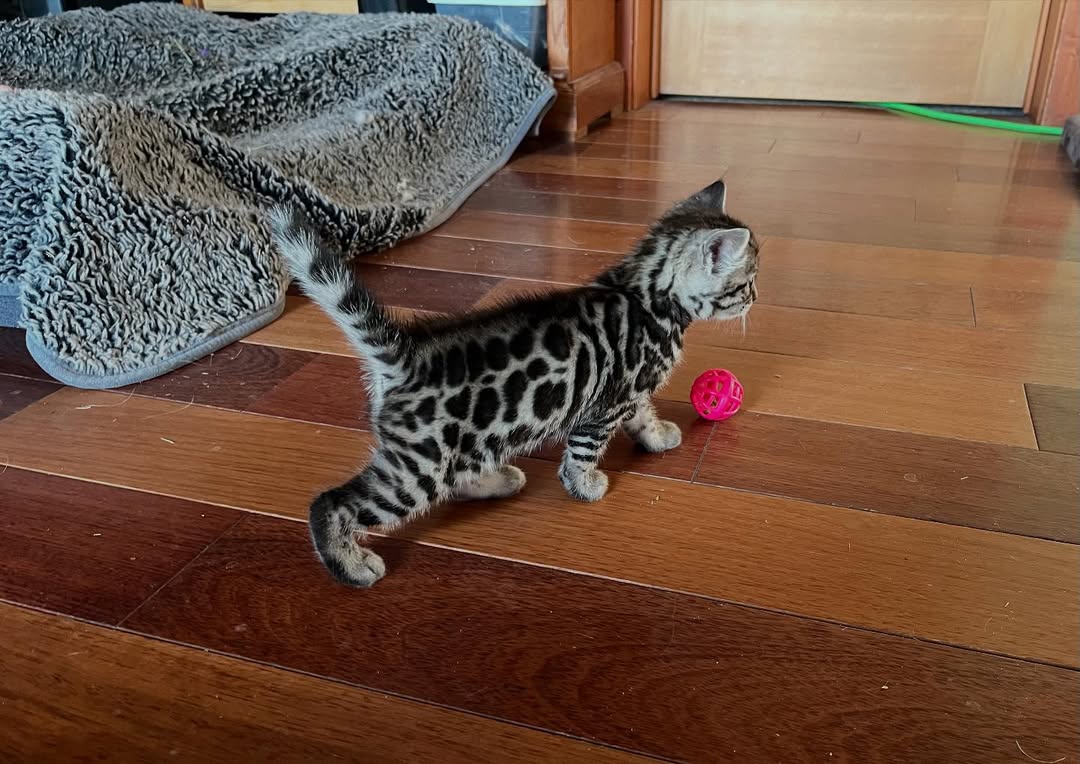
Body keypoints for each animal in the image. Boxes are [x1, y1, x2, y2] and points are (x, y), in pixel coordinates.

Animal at [272, 179, 758, 588]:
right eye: (747, 282)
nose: (755, 298)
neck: (644, 294)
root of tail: (404, 356)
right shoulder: (605, 405)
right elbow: (583, 452)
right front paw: (585, 486)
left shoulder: (630, 394)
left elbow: (644, 415)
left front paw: (657, 436)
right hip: (418, 466)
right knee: (333, 503)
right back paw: (351, 566)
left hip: (461, 447)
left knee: (455, 476)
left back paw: (497, 480)